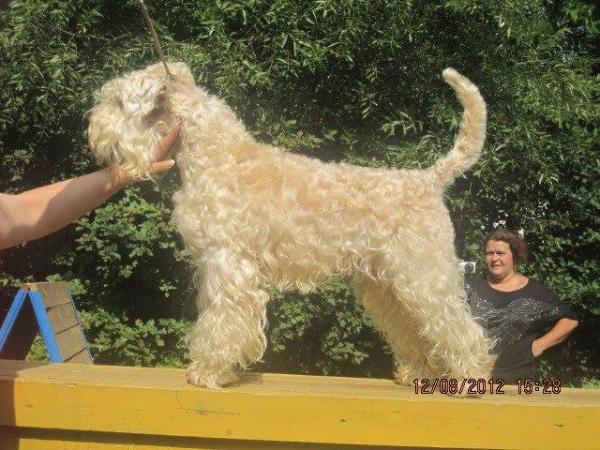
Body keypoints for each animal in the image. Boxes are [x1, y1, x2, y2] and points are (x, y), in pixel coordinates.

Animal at [86, 61, 494, 388]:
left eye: (119, 101)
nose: (92, 131)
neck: (217, 157)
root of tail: (428, 180)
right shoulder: (215, 264)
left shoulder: (228, 262)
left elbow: (222, 319)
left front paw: (209, 372)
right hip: (387, 285)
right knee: (413, 328)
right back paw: (418, 373)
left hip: (424, 274)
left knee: (459, 325)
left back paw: (471, 376)